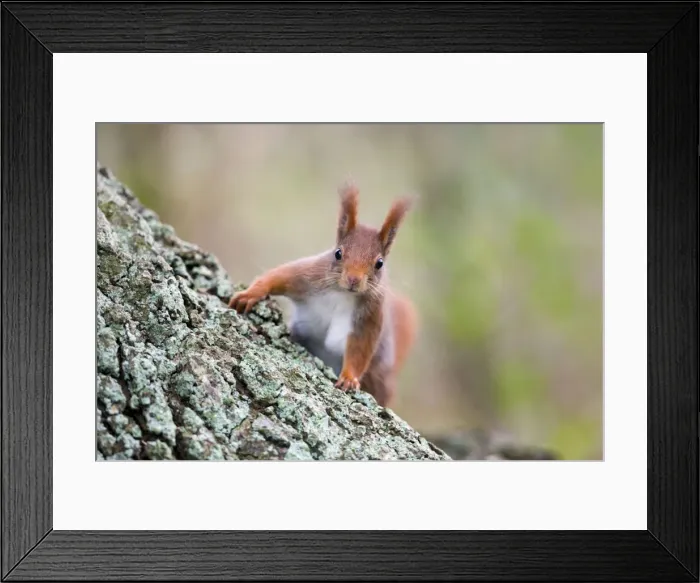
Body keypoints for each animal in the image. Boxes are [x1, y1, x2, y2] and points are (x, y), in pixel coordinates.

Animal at [228, 181, 417, 408]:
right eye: (338, 253)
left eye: (379, 263)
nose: (353, 280)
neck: (343, 293)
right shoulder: (308, 276)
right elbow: (278, 277)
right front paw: (250, 294)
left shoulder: (371, 315)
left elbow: (361, 349)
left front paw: (349, 378)